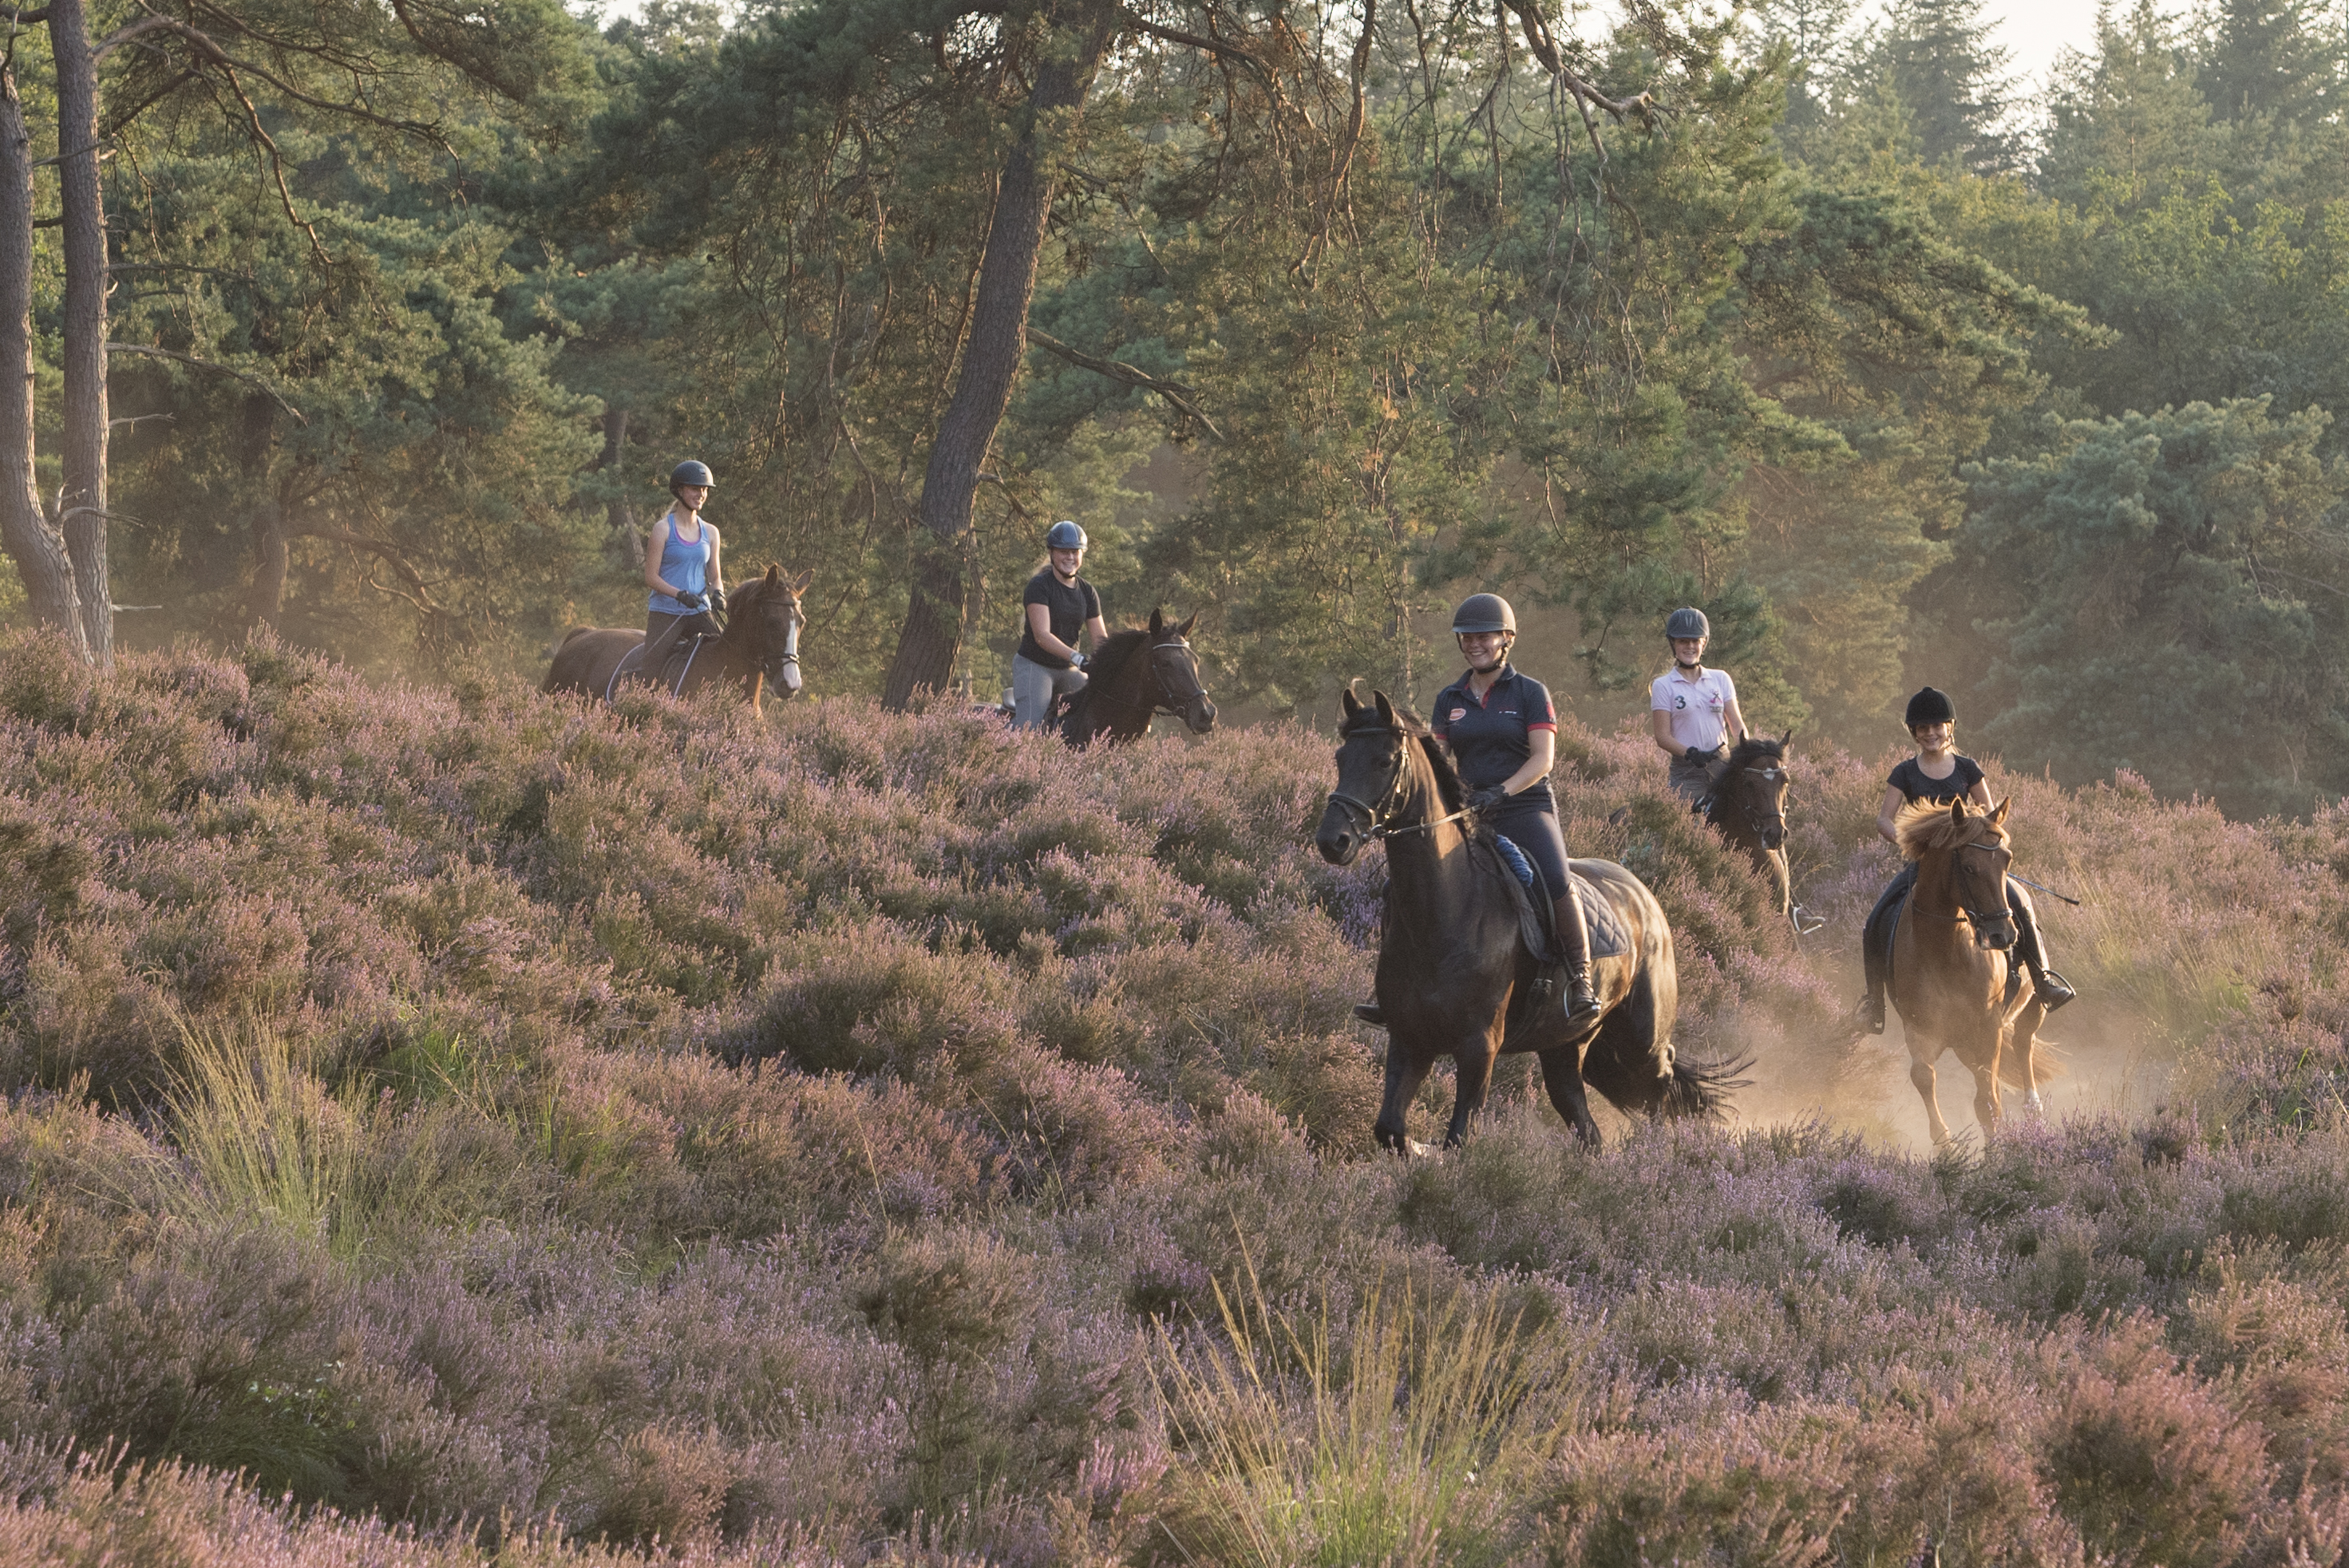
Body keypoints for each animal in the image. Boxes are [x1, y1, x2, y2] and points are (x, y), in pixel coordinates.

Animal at [1315, 685, 1738, 1150]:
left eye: (1385, 760)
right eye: (1340, 757)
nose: (1333, 840)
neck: (1443, 913)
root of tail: (1645, 897)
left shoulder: (1479, 1047)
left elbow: (1458, 1137)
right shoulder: (1410, 1039)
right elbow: (1391, 1130)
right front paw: (1420, 1149)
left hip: (1642, 1038)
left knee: (1660, 1084)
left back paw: (1661, 1149)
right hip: (1565, 1047)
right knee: (1585, 1124)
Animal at [1879, 803, 2048, 1145]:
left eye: (2007, 859)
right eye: (1968, 867)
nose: (2003, 935)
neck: (1945, 951)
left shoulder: (1988, 1027)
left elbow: (1988, 1102)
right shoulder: (1920, 1028)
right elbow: (1923, 1077)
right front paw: (1945, 1144)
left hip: (2032, 1004)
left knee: (2024, 1044)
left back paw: (2033, 1107)